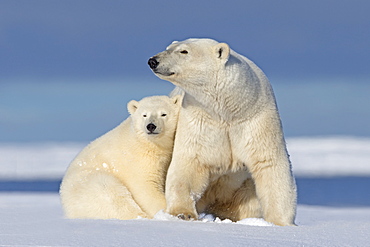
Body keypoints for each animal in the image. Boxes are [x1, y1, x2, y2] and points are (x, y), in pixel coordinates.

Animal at [149, 37, 296, 226]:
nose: (153, 61)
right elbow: (190, 162)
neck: (229, 110)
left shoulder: (256, 120)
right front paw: (183, 214)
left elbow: (269, 163)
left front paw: (280, 223)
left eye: (184, 51)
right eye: (168, 47)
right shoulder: (199, 120)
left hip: (243, 191)